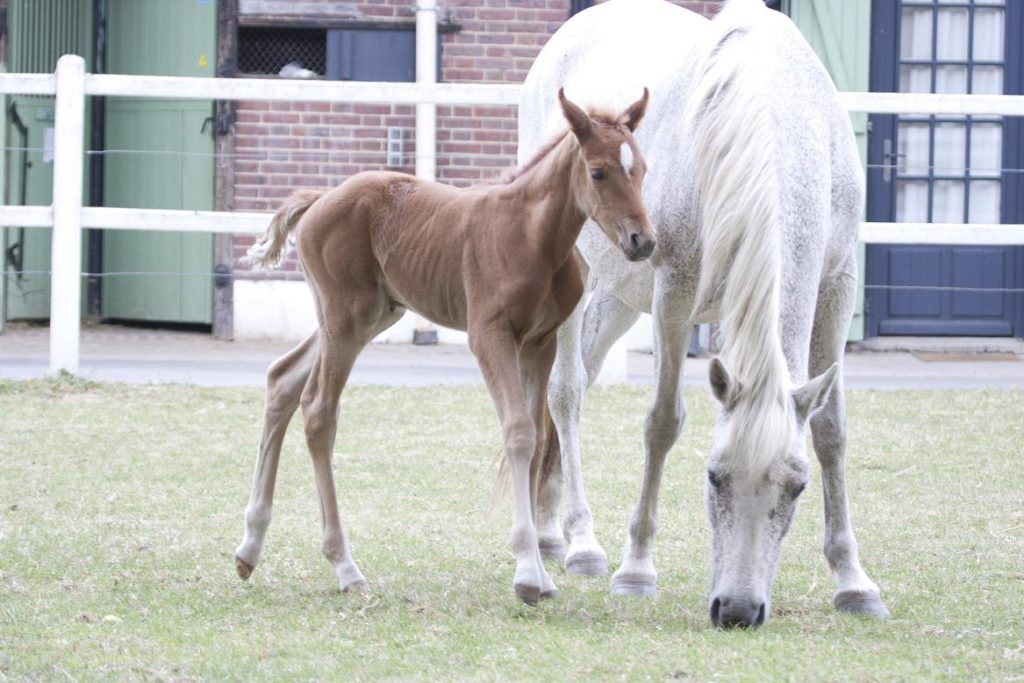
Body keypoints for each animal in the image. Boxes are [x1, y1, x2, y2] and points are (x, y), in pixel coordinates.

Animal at [234, 89, 655, 602]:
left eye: (642, 169)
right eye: (598, 172)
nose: (642, 241)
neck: (533, 236)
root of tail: (320, 199)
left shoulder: (539, 343)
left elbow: (536, 442)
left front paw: (542, 573)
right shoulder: (490, 335)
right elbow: (518, 432)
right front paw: (527, 574)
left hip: (370, 315)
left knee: (282, 379)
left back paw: (250, 547)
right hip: (346, 317)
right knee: (317, 410)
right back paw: (345, 566)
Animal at [520, 0, 888, 630]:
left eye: (797, 488)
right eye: (714, 477)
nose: (737, 611)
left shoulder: (838, 285)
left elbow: (831, 431)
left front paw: (853, 581)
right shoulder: (676, 290)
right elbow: (663, 421)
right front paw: (636, 570)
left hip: (619, 299)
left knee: (581, 379)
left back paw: (549, 532)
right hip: (576, 273)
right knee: (565, 392)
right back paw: (583, 543)